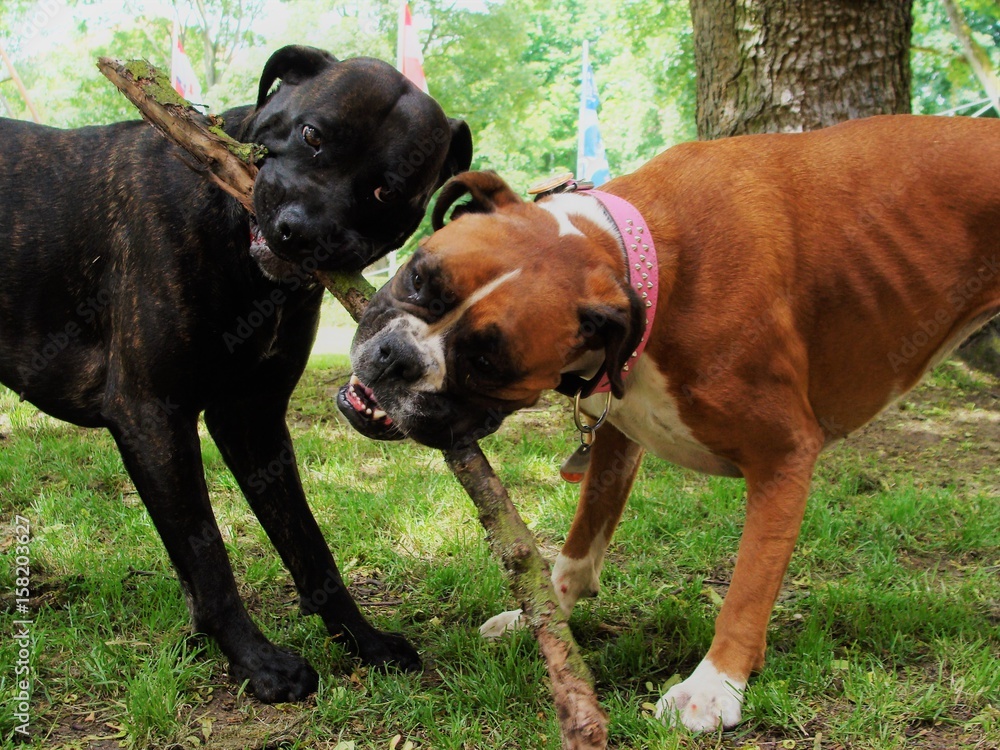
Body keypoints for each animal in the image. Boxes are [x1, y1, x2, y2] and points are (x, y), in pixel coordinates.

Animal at [0, 45, 472, 704]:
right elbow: (207, 554)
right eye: (312, 135)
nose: (300, 233)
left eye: (386, 190)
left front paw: (362, 639)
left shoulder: (254, 421)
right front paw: (258, 663)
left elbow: (308, 546)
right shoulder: (154, 414)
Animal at [340, 114, 996, 732]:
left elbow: (749, 585)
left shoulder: (784, 454)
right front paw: (547, 613)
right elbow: (582, 537)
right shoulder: (616, 433)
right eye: (419, 277)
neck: (642, 262)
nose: (397, 359)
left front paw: (715, 686)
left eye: (485, 362)